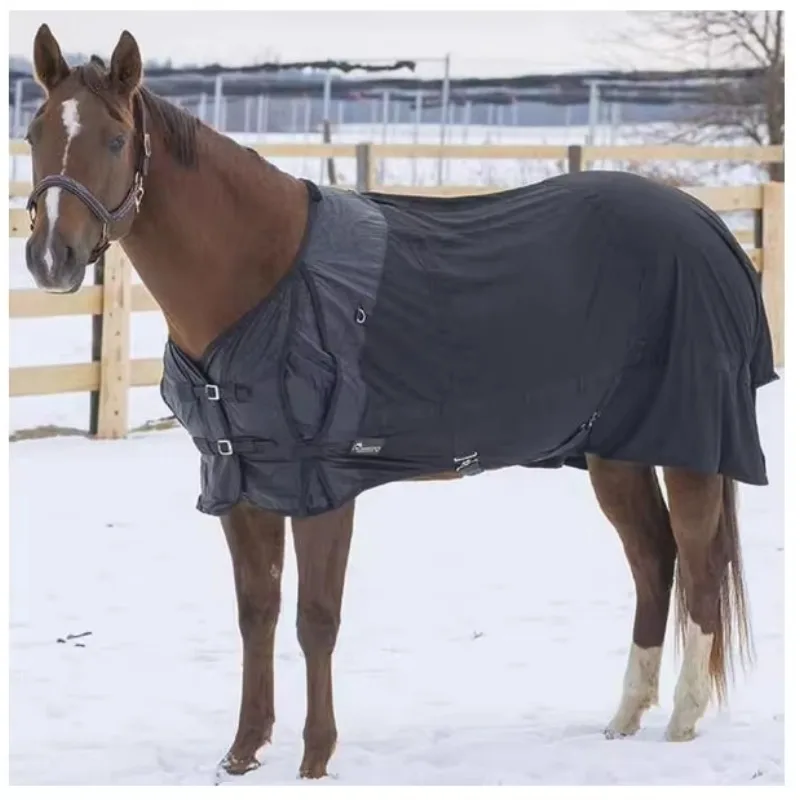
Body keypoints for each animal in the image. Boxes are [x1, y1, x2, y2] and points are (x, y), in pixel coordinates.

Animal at [23, 25, 777, 779]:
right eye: (34, 133)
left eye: (116, 139)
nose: (51, 259)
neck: (264, 277)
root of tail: (706, 224)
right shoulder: (239, 477)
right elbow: (256, 612)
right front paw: (241, 754)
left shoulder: (320, 484)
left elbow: (315, 618)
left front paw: (315, 759)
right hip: (616, 451)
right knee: (654, 562)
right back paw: (624, 717)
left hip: (688, 447)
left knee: (699, 566)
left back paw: (681, 719)